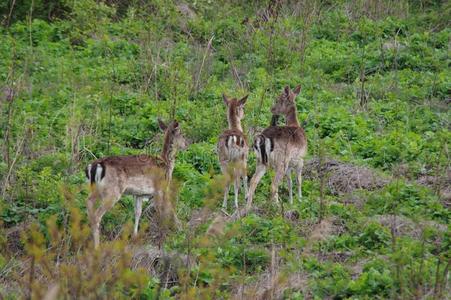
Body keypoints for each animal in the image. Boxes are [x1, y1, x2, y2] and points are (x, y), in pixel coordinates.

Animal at [85, 118, 187, 247]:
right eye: (182, 133)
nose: (187, 145)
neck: (166, 165)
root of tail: (95, 166)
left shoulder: (139, 194)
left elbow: (138, 212)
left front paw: (135, 236)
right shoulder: (161, 189)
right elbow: (167, 210)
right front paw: (176, 231)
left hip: (95, 189)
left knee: (88, 203)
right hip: (112, 191)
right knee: (97, 215)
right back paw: (97, 246)